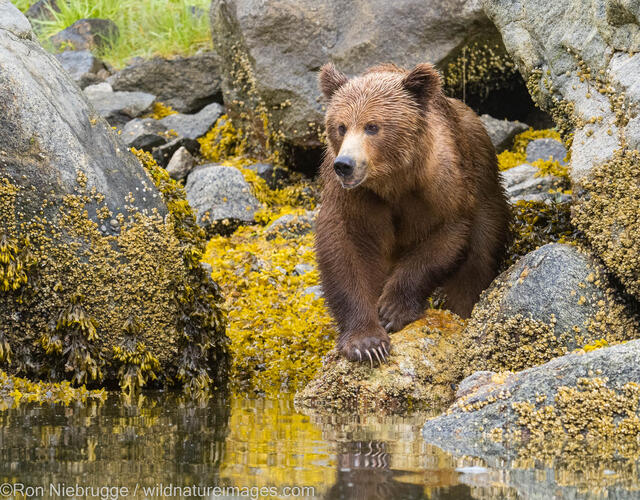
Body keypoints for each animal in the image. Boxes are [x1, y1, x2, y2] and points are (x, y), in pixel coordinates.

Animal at [316, 62, 510, 368]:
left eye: (372, 126)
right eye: (341, 126)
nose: (345, 165)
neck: (393, 180)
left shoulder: (442, 184)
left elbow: (443, 238)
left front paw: (392, 309)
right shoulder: (354, 199)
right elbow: (345, 251)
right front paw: (367, 343)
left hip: (485, 181)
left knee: (480, 252)